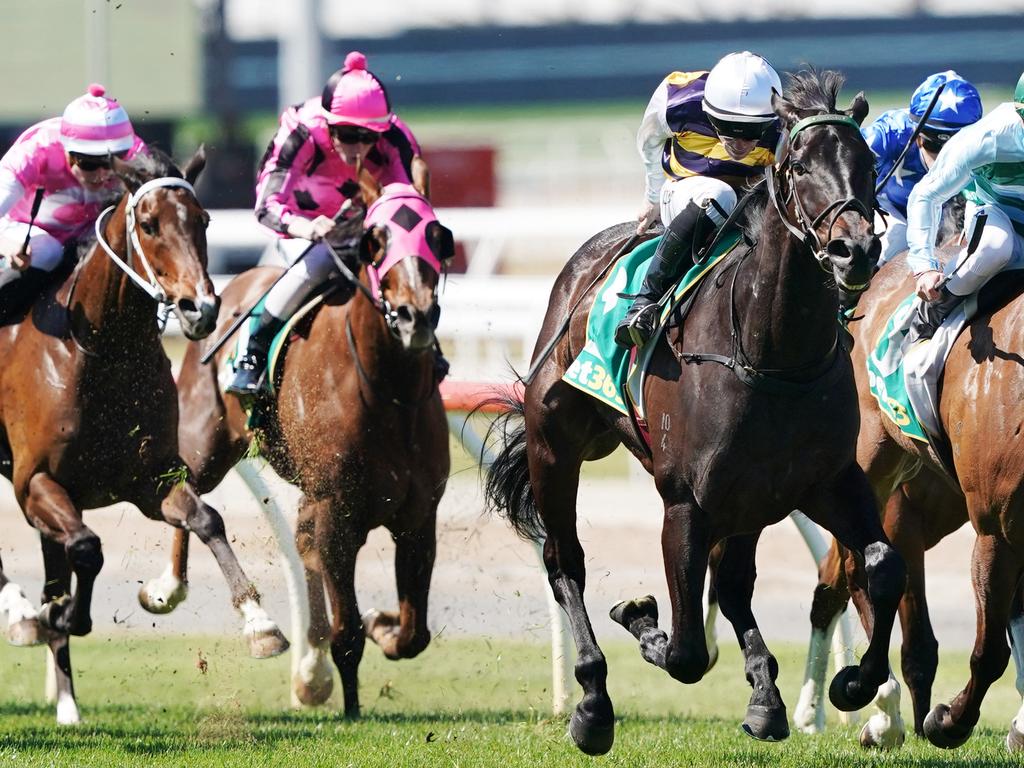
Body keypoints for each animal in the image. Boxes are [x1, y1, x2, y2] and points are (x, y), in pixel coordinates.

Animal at [0, 145, 288, 729]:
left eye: (203, 221)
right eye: (150, 224)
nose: (200, 309)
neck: (99, 352)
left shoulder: (149, 477)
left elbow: (206, 518)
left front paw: (259, 622)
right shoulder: (33, 481)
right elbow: (87, 548)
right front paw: (65, 615)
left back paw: (66, 699)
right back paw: (22, 613)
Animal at [147, 182, 448, 720]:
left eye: (438, 236)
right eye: (376, 241)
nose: (415, 315)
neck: (387, 392)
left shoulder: (418, 517)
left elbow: (414, 633)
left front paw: (383, 625)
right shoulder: (337, 514)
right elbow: (348, 630)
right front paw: (351, 706)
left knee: (299, 540)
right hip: (208, 444)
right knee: (184, 489)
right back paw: (170, 588)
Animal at [481, 72, 905, 757]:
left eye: (867, 163)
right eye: (797, 165)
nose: (854, 251)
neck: (771, 353)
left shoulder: (823, 481)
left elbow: (883, 564)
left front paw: (851, 684)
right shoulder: (686, 501)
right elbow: (682, 650)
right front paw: (639, 618)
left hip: (749, 501)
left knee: (731, 584)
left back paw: (765, 698)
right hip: (555, 449)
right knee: (564, 561)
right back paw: (592, 703)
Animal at [794, 236, 1024, 753]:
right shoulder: (989, 527)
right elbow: (982, 650)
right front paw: (945, 721)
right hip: (870, 465)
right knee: (853, 573)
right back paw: (866, 698)